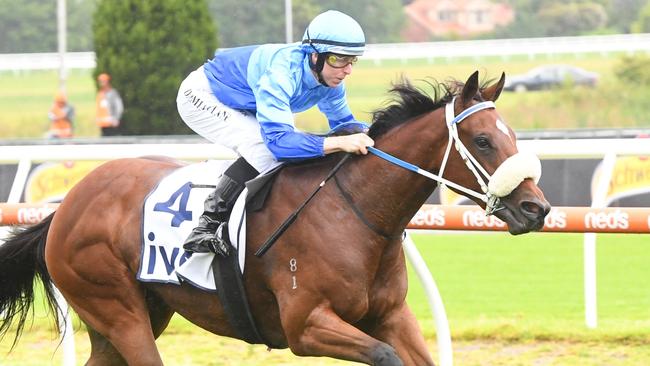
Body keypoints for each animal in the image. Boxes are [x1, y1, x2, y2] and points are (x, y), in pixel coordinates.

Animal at [0, 71, 548, 366]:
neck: (354, 210)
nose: (536, 208)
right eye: (483, 140)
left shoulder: (389, 315)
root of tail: (65, 207)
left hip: (135, 313)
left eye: (512, 135)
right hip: (117, 308)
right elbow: (382, 354)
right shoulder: (306, 325)